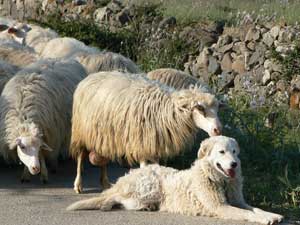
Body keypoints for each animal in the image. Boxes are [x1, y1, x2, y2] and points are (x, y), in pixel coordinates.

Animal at [67, 135, 284, 225]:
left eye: (235, 152)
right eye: (222, 152)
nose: (234, 164)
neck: (219, 180)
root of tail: (131, 175)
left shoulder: (238, 201)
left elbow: (254, 209)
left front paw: (271, 215)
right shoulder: (220, 207)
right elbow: (247, 214)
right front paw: (264, 220)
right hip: (151, 187)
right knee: (118, 198)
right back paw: (109, 205)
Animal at [69, 71, 221, 193]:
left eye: (216, 109)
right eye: (201, 110)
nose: (218, 130)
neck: (166, 110)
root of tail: (89, 77)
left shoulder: (155, 145)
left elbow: (156, 167)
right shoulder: (141, 144)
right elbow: (143, 168)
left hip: (103, 135)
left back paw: (105, 183)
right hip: (80, 132)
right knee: (80, 157)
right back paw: (78, 185)